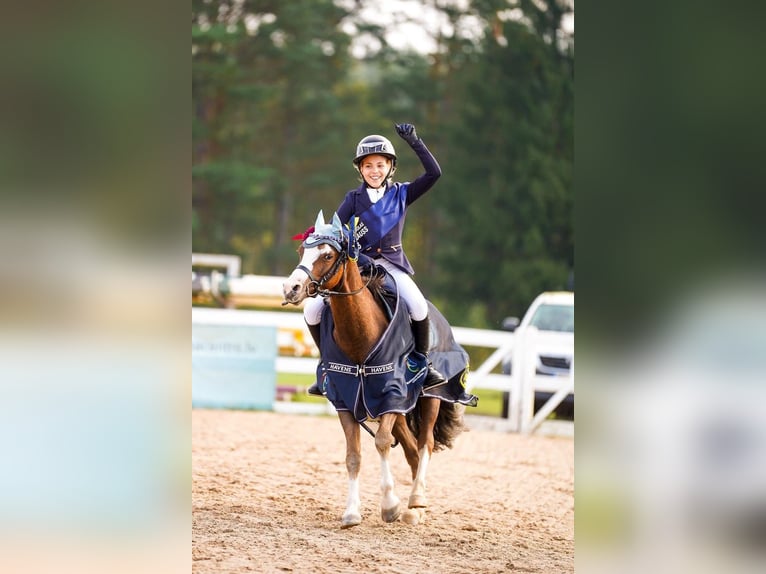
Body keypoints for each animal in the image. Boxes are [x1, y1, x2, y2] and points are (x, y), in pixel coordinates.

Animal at [282, 212, 474, 527]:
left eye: (327, 255)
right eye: (301, 251)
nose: (291, 289)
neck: (359, 335)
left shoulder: (392, 397)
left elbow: (382, 443)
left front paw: (390, 505)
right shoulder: (347, 402)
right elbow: (353, 456)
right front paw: (352, 512)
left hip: (430, 399)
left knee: (425, 443)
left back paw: (416, 499)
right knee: (411, 450)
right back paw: (414, 510)